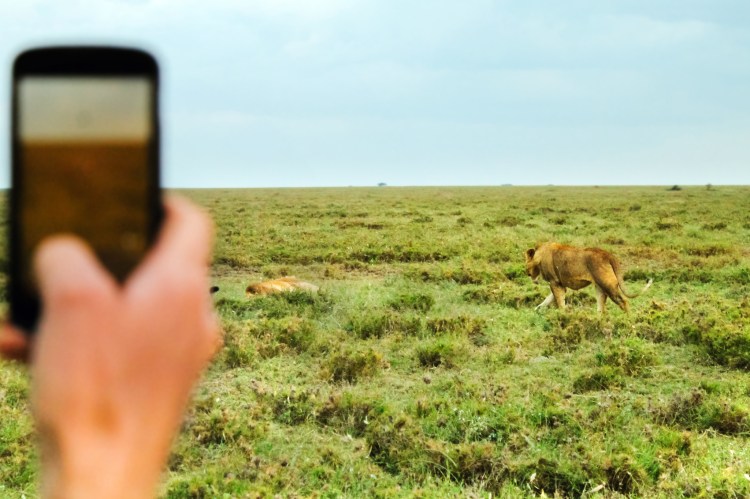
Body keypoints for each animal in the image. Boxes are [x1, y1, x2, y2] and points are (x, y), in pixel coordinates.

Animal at [524, 242, 652, 313]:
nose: (527, 273)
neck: (540, 255)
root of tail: (608, 254)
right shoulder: (559, 284)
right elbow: (548, 300)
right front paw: (536, 310)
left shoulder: (554, 282)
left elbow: (559, 302)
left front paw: (562, 315)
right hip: (600, 288)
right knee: (601, 310)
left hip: (608, 285)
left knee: (624, 302)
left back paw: (629, 321)